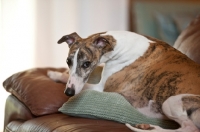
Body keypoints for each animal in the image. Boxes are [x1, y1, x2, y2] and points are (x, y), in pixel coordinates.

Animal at [48, 31, 200, 132]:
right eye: (68, 61)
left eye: (86, 64)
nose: (69, 92)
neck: (120, 46)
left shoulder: (101, 88)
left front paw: (54, 74)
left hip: (172, 101)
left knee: (189, 128)